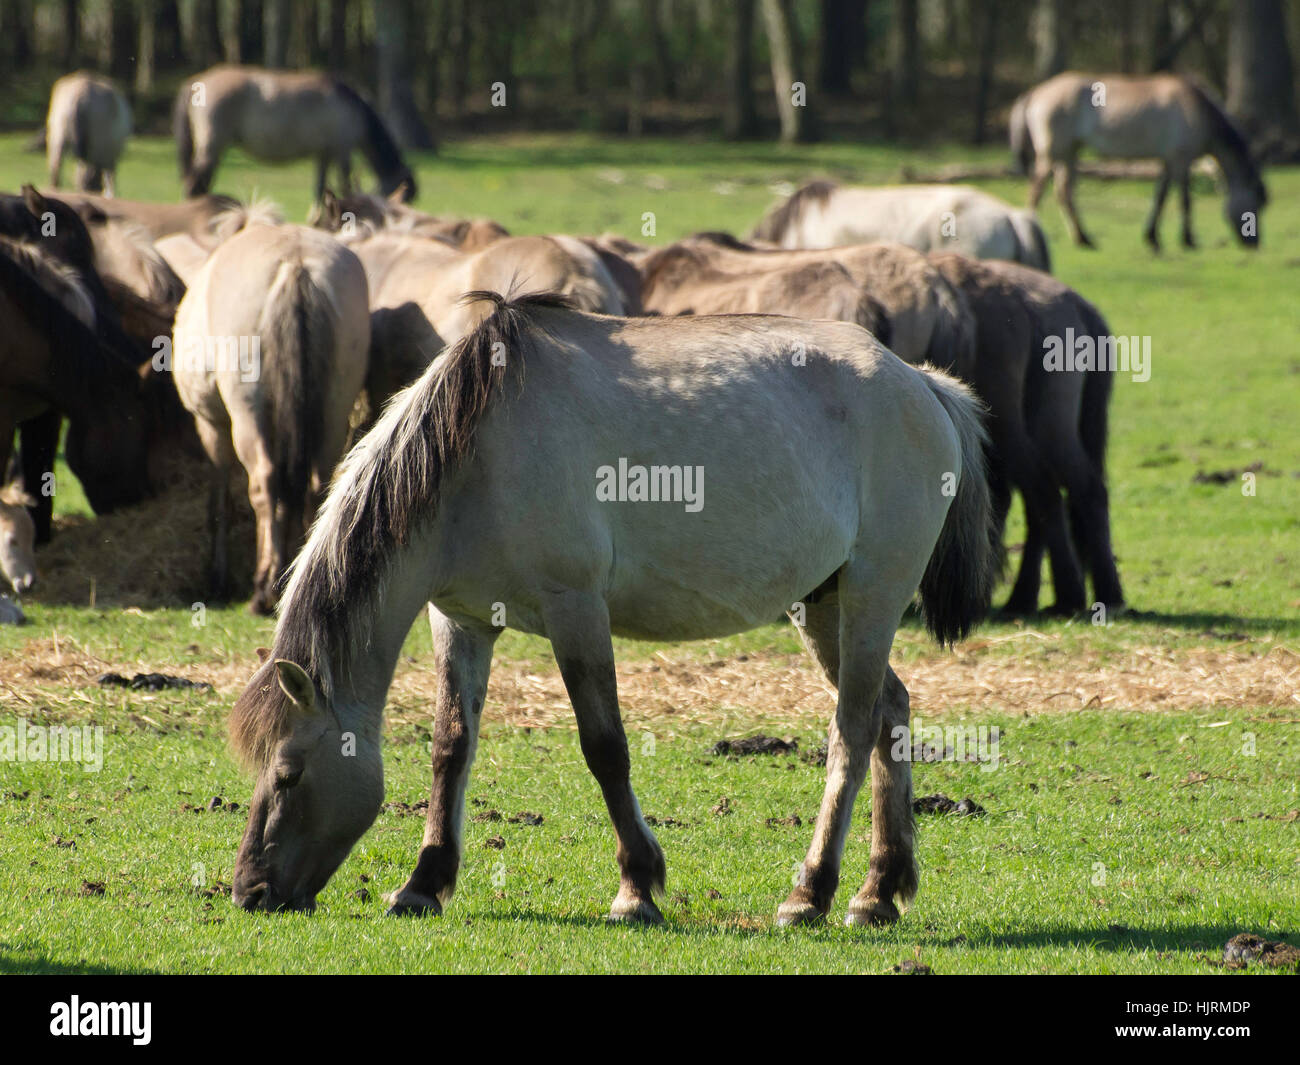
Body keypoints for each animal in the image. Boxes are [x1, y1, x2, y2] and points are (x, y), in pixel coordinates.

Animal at [171, 223, 370, 614]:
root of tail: (296, 264)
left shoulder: (211, 425)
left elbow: (220, 499)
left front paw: (218, 575)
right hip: (334, 407)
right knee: (316, 484)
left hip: (247, 409)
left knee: (264, 482)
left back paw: (264, 589)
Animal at [174, 66, 418, 203]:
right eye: (403, 199)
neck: (352, 108)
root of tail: (195, 83)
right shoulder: (343, 151)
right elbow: (345, 186)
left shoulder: (324, 154)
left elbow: (320, 190)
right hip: (212, 148)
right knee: (195, 185)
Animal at [226, 292, 999, 924]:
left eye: (288, 772)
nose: (249, 891)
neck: (475, 453)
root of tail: (923, 385)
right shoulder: (462, 619)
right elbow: (451, 746)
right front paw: (423, 883)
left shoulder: (575, 609)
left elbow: (606, 748)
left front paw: (637, 887)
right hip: (823, 604)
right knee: (891, 711)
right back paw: (879, 891)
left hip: (873, 594)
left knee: (853, 729)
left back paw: (812, 892)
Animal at [1009, 72, 1267, 249]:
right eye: (1256, 203)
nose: (1254, 242)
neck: (1199, 110)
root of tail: (1035, 92)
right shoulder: (1181, 160)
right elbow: (1185, 200)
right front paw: (1188, 240)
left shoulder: (1168, 161)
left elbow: (1161, 197)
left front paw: (1152, 237)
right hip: (1053, 153)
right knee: (1036, 190)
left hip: (1070, 153)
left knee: (1064, 193)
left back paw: (1084, 239)